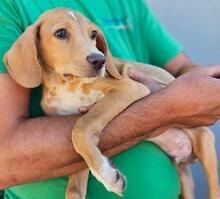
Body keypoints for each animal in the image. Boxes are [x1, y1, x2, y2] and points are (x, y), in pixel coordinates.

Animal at [3, 8, 220, 199]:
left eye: (93, 34)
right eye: (61, 33)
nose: (99, 60)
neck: (67, 85)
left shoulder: (129, 88)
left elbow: (80, 127)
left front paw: (108, 176)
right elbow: (74, 188)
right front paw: (103, 171)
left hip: (204, 142)